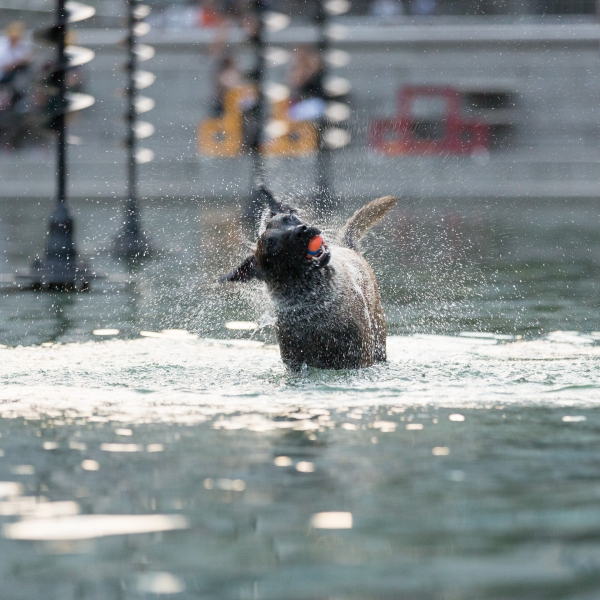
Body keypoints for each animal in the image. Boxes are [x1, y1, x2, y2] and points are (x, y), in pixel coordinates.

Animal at [223, 189, 396, 370]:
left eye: (290, 218)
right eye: (272, 244)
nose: (303, 230)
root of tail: (348, 248)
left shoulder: (358, 356)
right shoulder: (296, 362)